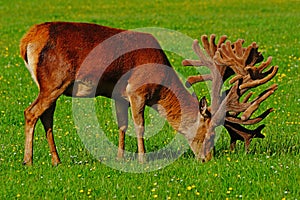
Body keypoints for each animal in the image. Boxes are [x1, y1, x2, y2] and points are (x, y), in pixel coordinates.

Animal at [19, 21, 278, 166]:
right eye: (211, 132)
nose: (208, 159)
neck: (160, 86)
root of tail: (27, 40)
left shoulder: (119, 96)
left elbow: (122, 125)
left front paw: (121, 158)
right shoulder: (137, 90)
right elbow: (139, 126)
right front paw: (142, 159)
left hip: (51, 86)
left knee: (46, 116)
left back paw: (56, 160)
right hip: (54, 80)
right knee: (31, 112)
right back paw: (28, 160)